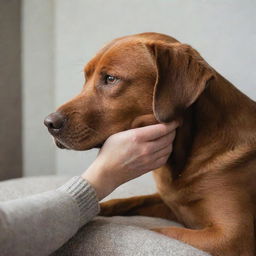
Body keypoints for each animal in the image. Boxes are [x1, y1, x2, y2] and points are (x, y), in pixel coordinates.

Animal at [45, 33, 256, 255]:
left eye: (110, 79)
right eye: (85, 78)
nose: (48, 123)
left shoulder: (232, 238)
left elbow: (163, 232)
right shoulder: (169, 202)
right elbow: (128, 201)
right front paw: (96, 210)